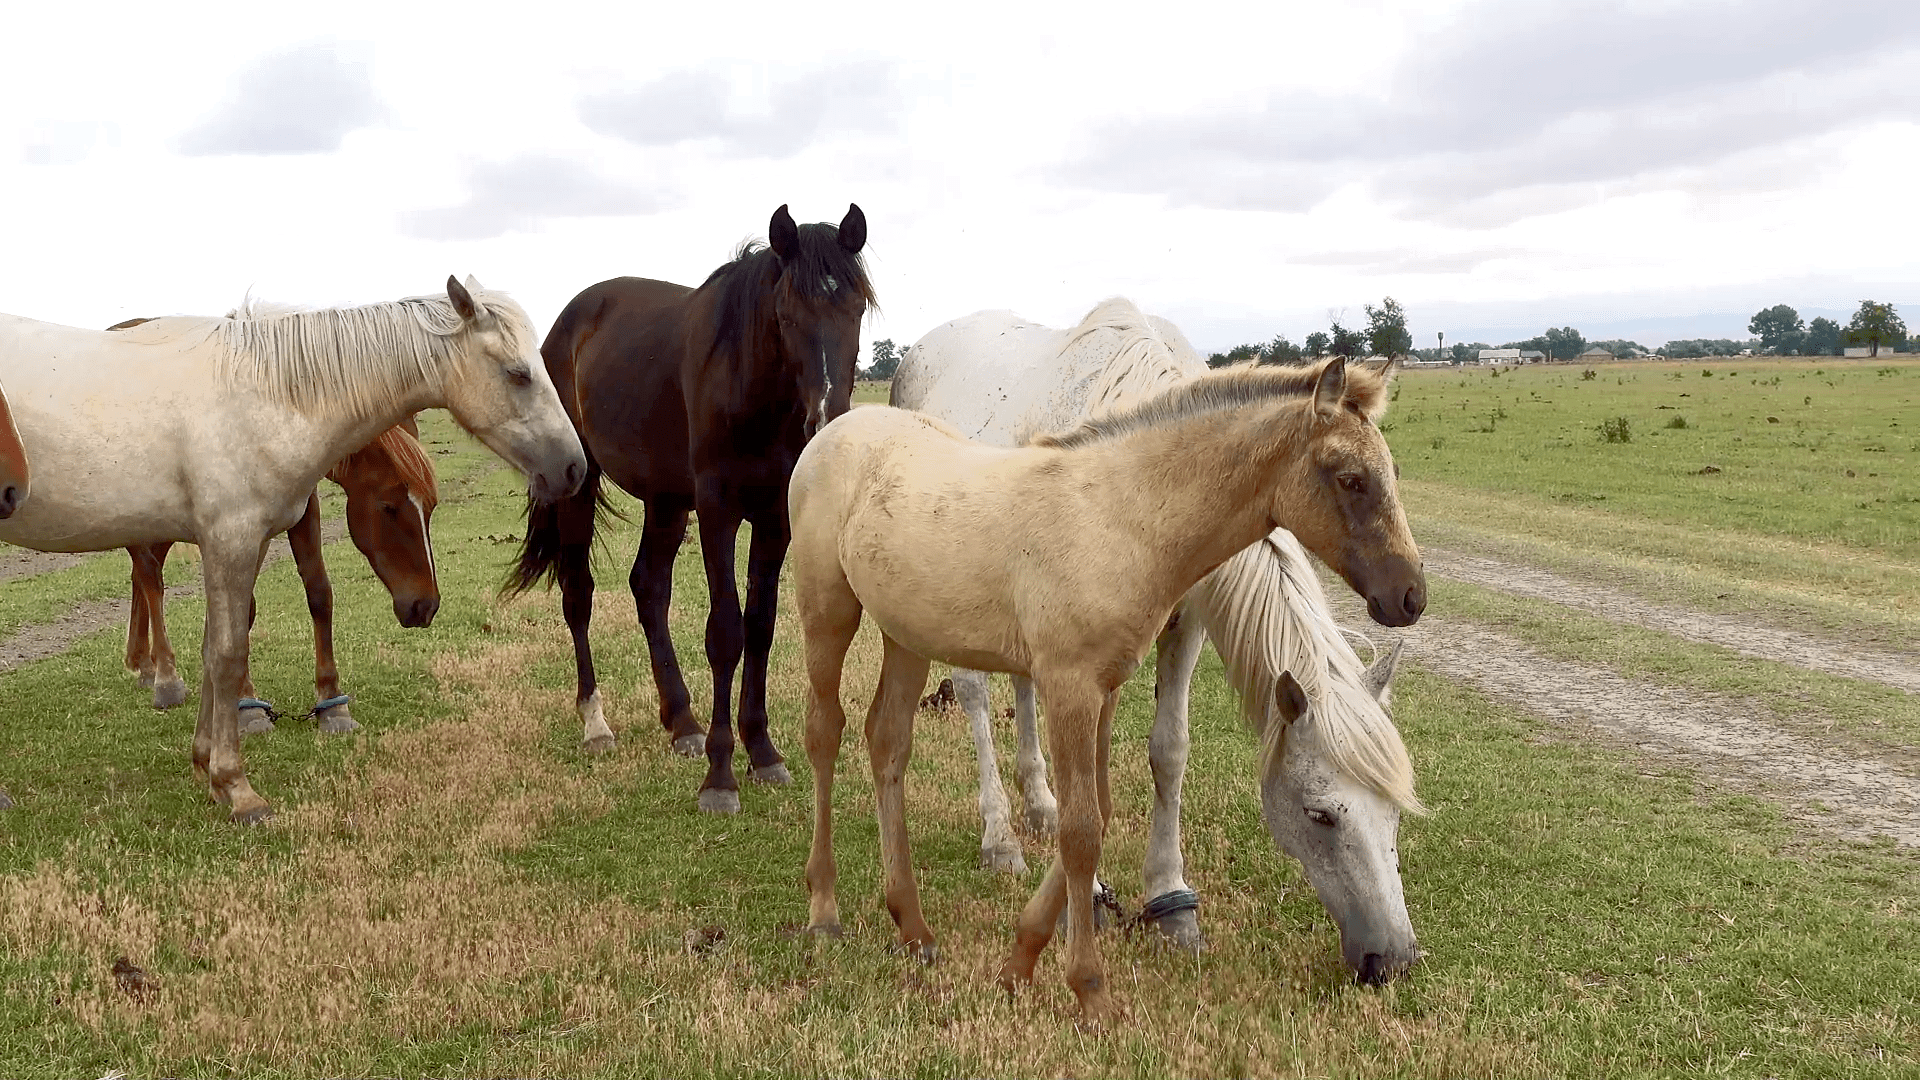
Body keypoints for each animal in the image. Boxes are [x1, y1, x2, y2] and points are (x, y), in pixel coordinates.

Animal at [0, 272, 583, 818]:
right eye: (518, 374)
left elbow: (221, 643)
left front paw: (206, 766)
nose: (573, 468)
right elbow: (229, 652)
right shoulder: (230, 540)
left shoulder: (249, 541)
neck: (262, 394)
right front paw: (238, 789)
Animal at [506, 199, 875, 807]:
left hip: (666, 501)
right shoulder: (718, 511)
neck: (750, 387)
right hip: (579, 483)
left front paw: (762, 752)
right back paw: (596, 723)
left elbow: (760, 627)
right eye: (786, 314)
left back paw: (681, 720)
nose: (827, 420)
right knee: (578, 593)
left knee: (648, 588)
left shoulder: (773, 520)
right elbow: (725, 631)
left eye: (857, 307)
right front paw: (720, 776)